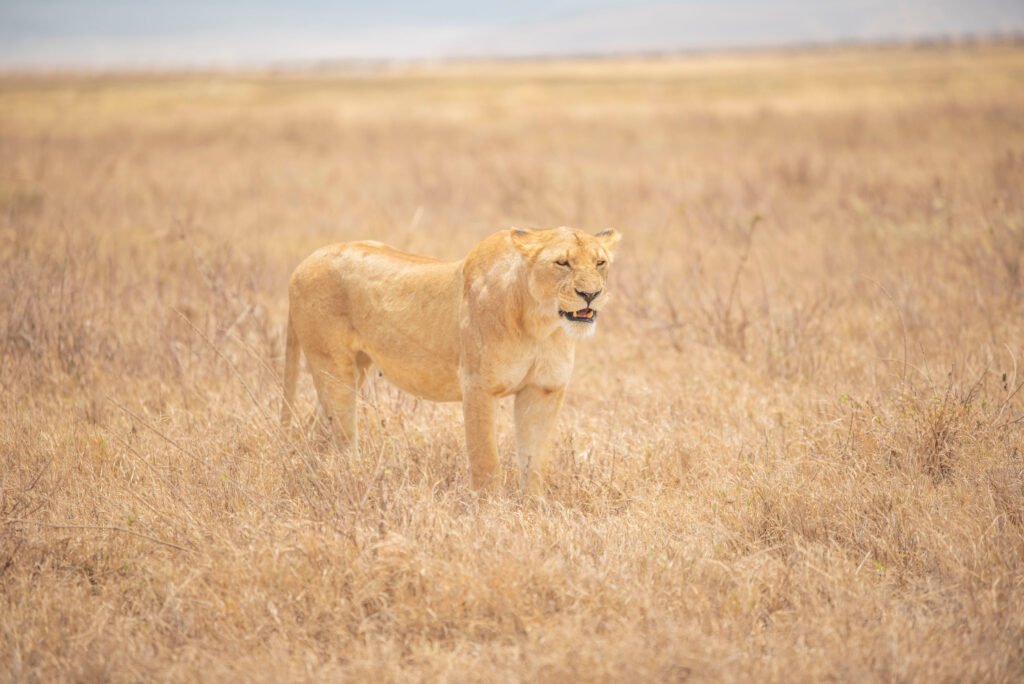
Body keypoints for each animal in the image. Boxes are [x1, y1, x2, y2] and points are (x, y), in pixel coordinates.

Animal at [280, 226, 622, 494]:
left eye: (600, 262)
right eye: (562, 262)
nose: (590, 294)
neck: (541, 324)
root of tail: (301, 265)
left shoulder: (543, 390)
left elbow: (535, 461)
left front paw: (533, 511)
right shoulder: (478, 386)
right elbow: (486, 460)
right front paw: (490, 515)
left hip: (355, 369)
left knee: (317, 425)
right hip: (333, 367)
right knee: (342, 434)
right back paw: (349, 478)